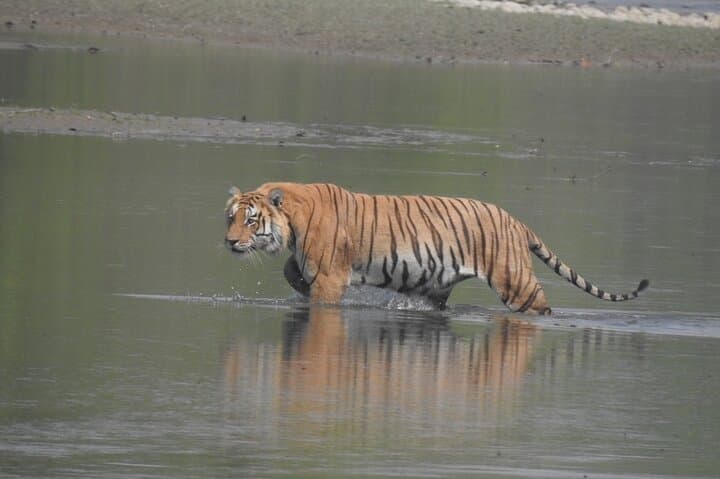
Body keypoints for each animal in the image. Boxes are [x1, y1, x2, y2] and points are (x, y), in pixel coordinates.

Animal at [224, 182, 649, 314]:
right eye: (230, 217)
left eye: (251, 221)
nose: (229, 241)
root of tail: (516, 220)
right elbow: (290, 271)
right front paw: (297, 282)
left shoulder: (331, 276)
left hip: (517, 284)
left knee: (541, 308)